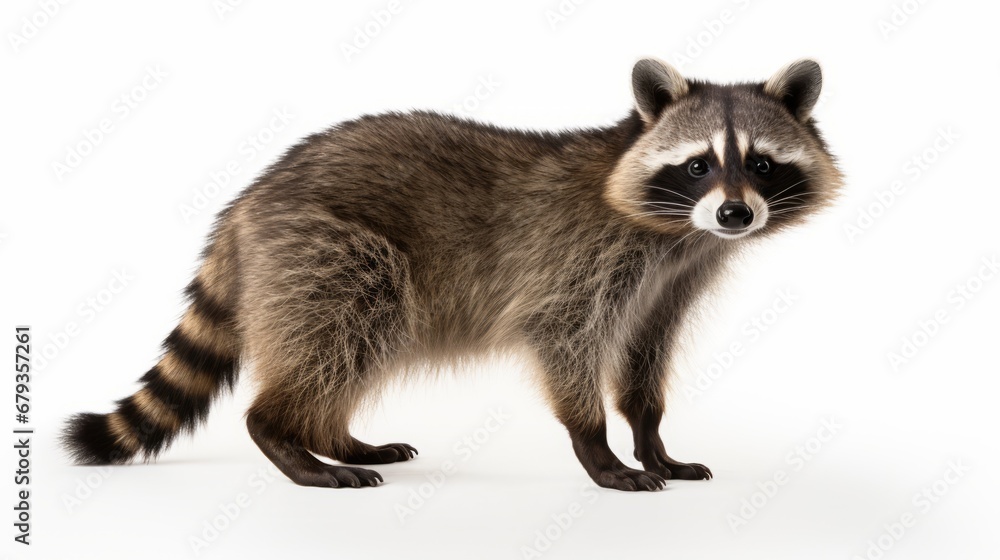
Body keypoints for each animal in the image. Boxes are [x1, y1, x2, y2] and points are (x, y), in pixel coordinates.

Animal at [63, 58, 842, 491]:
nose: (736, 214)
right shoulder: (581, 258)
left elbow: (647, 357)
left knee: (348, 349)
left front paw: (651, 437)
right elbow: (563, 339)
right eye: (699, 164)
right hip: (325, 250)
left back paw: (333, 432)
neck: (680, 232)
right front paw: (597, 446)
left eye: (762, 164)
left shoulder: (671, 280)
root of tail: (246, 202)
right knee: (346, 328)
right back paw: (287, 436)